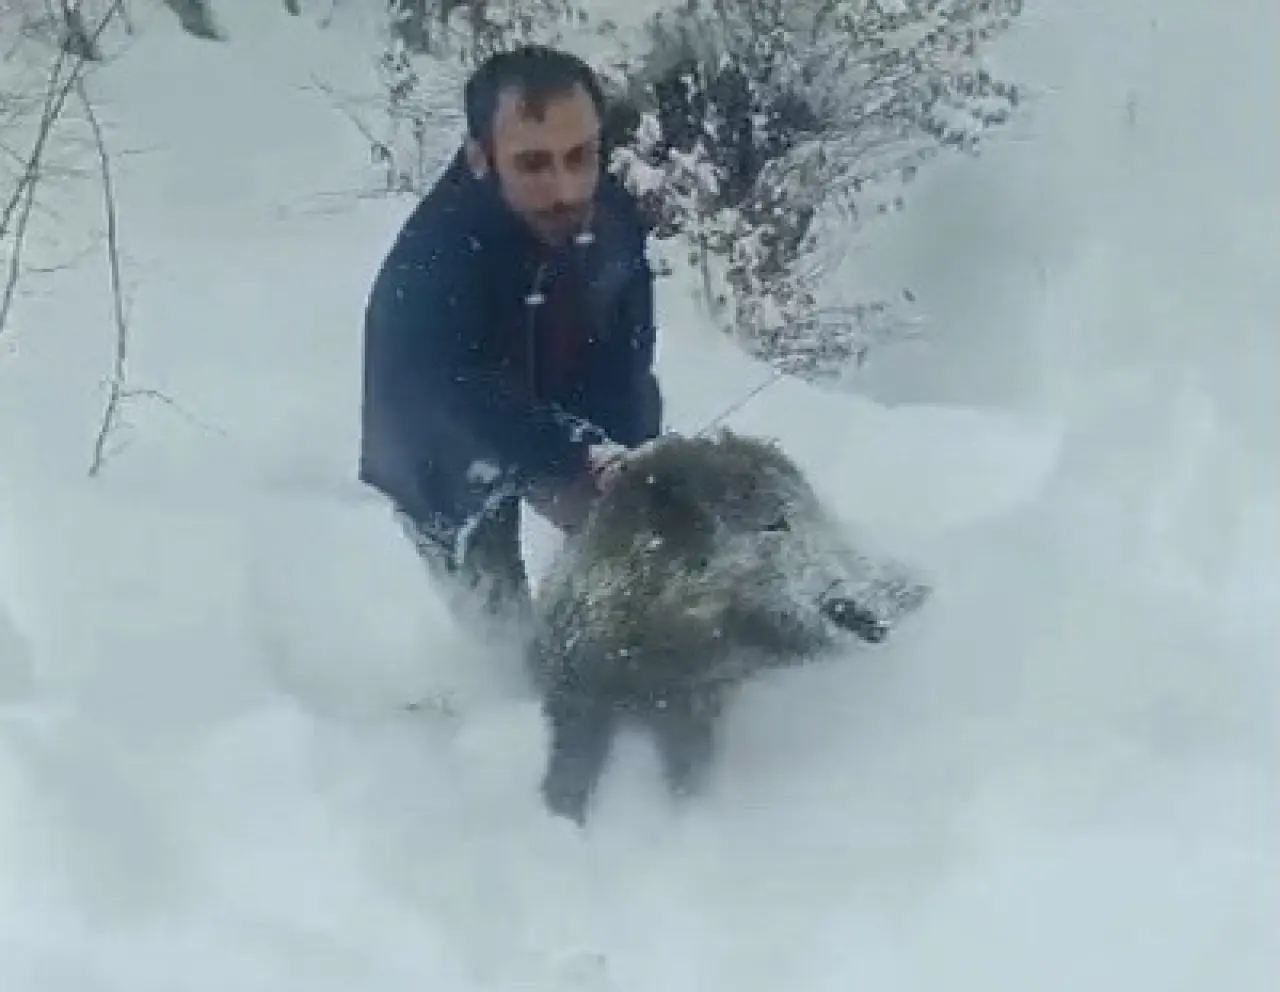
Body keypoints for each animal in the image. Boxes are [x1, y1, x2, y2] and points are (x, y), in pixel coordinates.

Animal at [524, 427, 926, 825]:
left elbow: (689, 771)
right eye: (774, 522)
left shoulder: (696, 700)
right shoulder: (575, 683)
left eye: (809, 513)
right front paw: (563, 823)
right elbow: (571, 762)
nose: (871, 613)